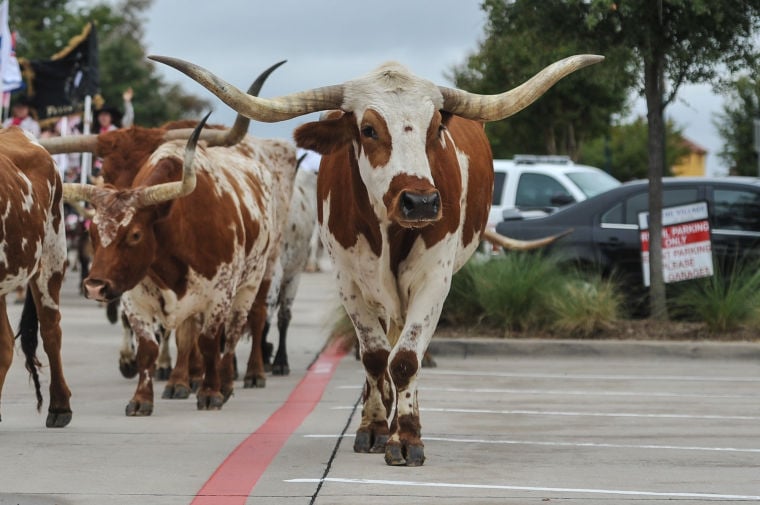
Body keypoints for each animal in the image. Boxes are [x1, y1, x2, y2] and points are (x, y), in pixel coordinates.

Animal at [44, 89, 297, 415]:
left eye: (135, 234)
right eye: (93, 233)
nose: (95, 286)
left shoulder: (219, 293)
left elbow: (209, 341)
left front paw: (211, 392)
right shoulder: (135, 295)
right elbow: (152, 346)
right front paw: (144, 397)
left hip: (259, 273)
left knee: (245, 322)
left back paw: (243, 376)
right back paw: (185, 378)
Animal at [151, 53, 602, 464]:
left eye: (435, 129)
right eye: (368, 129)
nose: (421, 202)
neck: (390, 231)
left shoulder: (434, 281)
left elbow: (405, 358)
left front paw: (408, 437)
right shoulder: (348, 281)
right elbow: (374, 356)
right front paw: (373, 427)